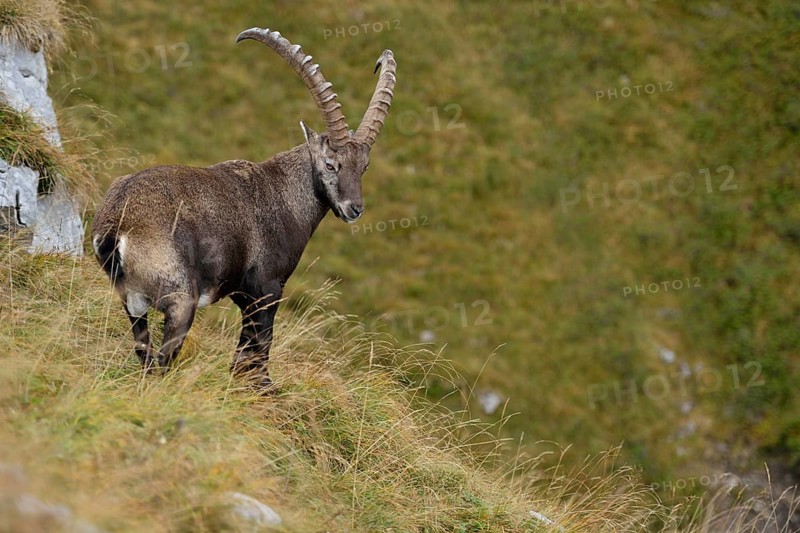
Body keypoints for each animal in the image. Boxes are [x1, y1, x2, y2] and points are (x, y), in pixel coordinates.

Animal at [91, 27, 396, 389]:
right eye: (331, 164)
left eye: (364, 167)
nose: (354, 209)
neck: (284, 194)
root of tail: (116, 227)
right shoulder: (267, 289)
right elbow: (256, 354)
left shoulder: (242, 295)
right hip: (181, 301)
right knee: (163, 361)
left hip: (132, 302)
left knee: (145, 354)